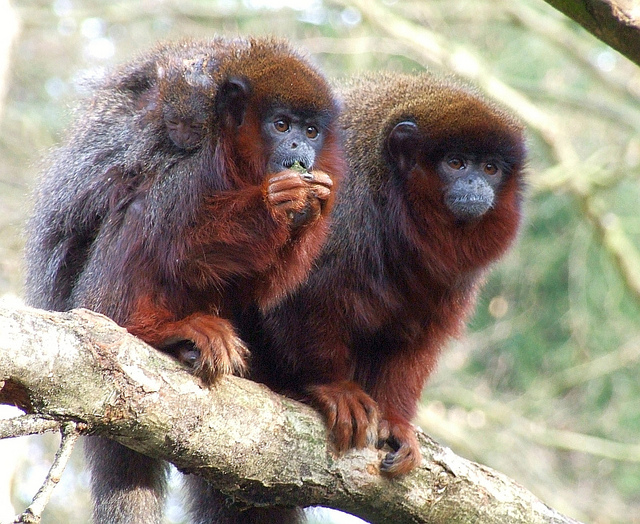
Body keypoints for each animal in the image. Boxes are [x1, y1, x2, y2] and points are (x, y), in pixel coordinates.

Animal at [23, 37, 344, 524]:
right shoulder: (196, 145)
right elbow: (182, 243)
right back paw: (152, 329)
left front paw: (312, 205)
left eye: (310, 132)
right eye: (281, 125)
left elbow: (257, 286)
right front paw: (275, 201)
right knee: (146, 206)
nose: (297, 147)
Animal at [240, 71, 524, 482]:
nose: (475, 186)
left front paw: (395, 420)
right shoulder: (346, 205)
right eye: (456, 163)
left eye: (490, 169)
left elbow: (417, 337)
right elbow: (298, 296)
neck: (390, 196)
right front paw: (334, 386)